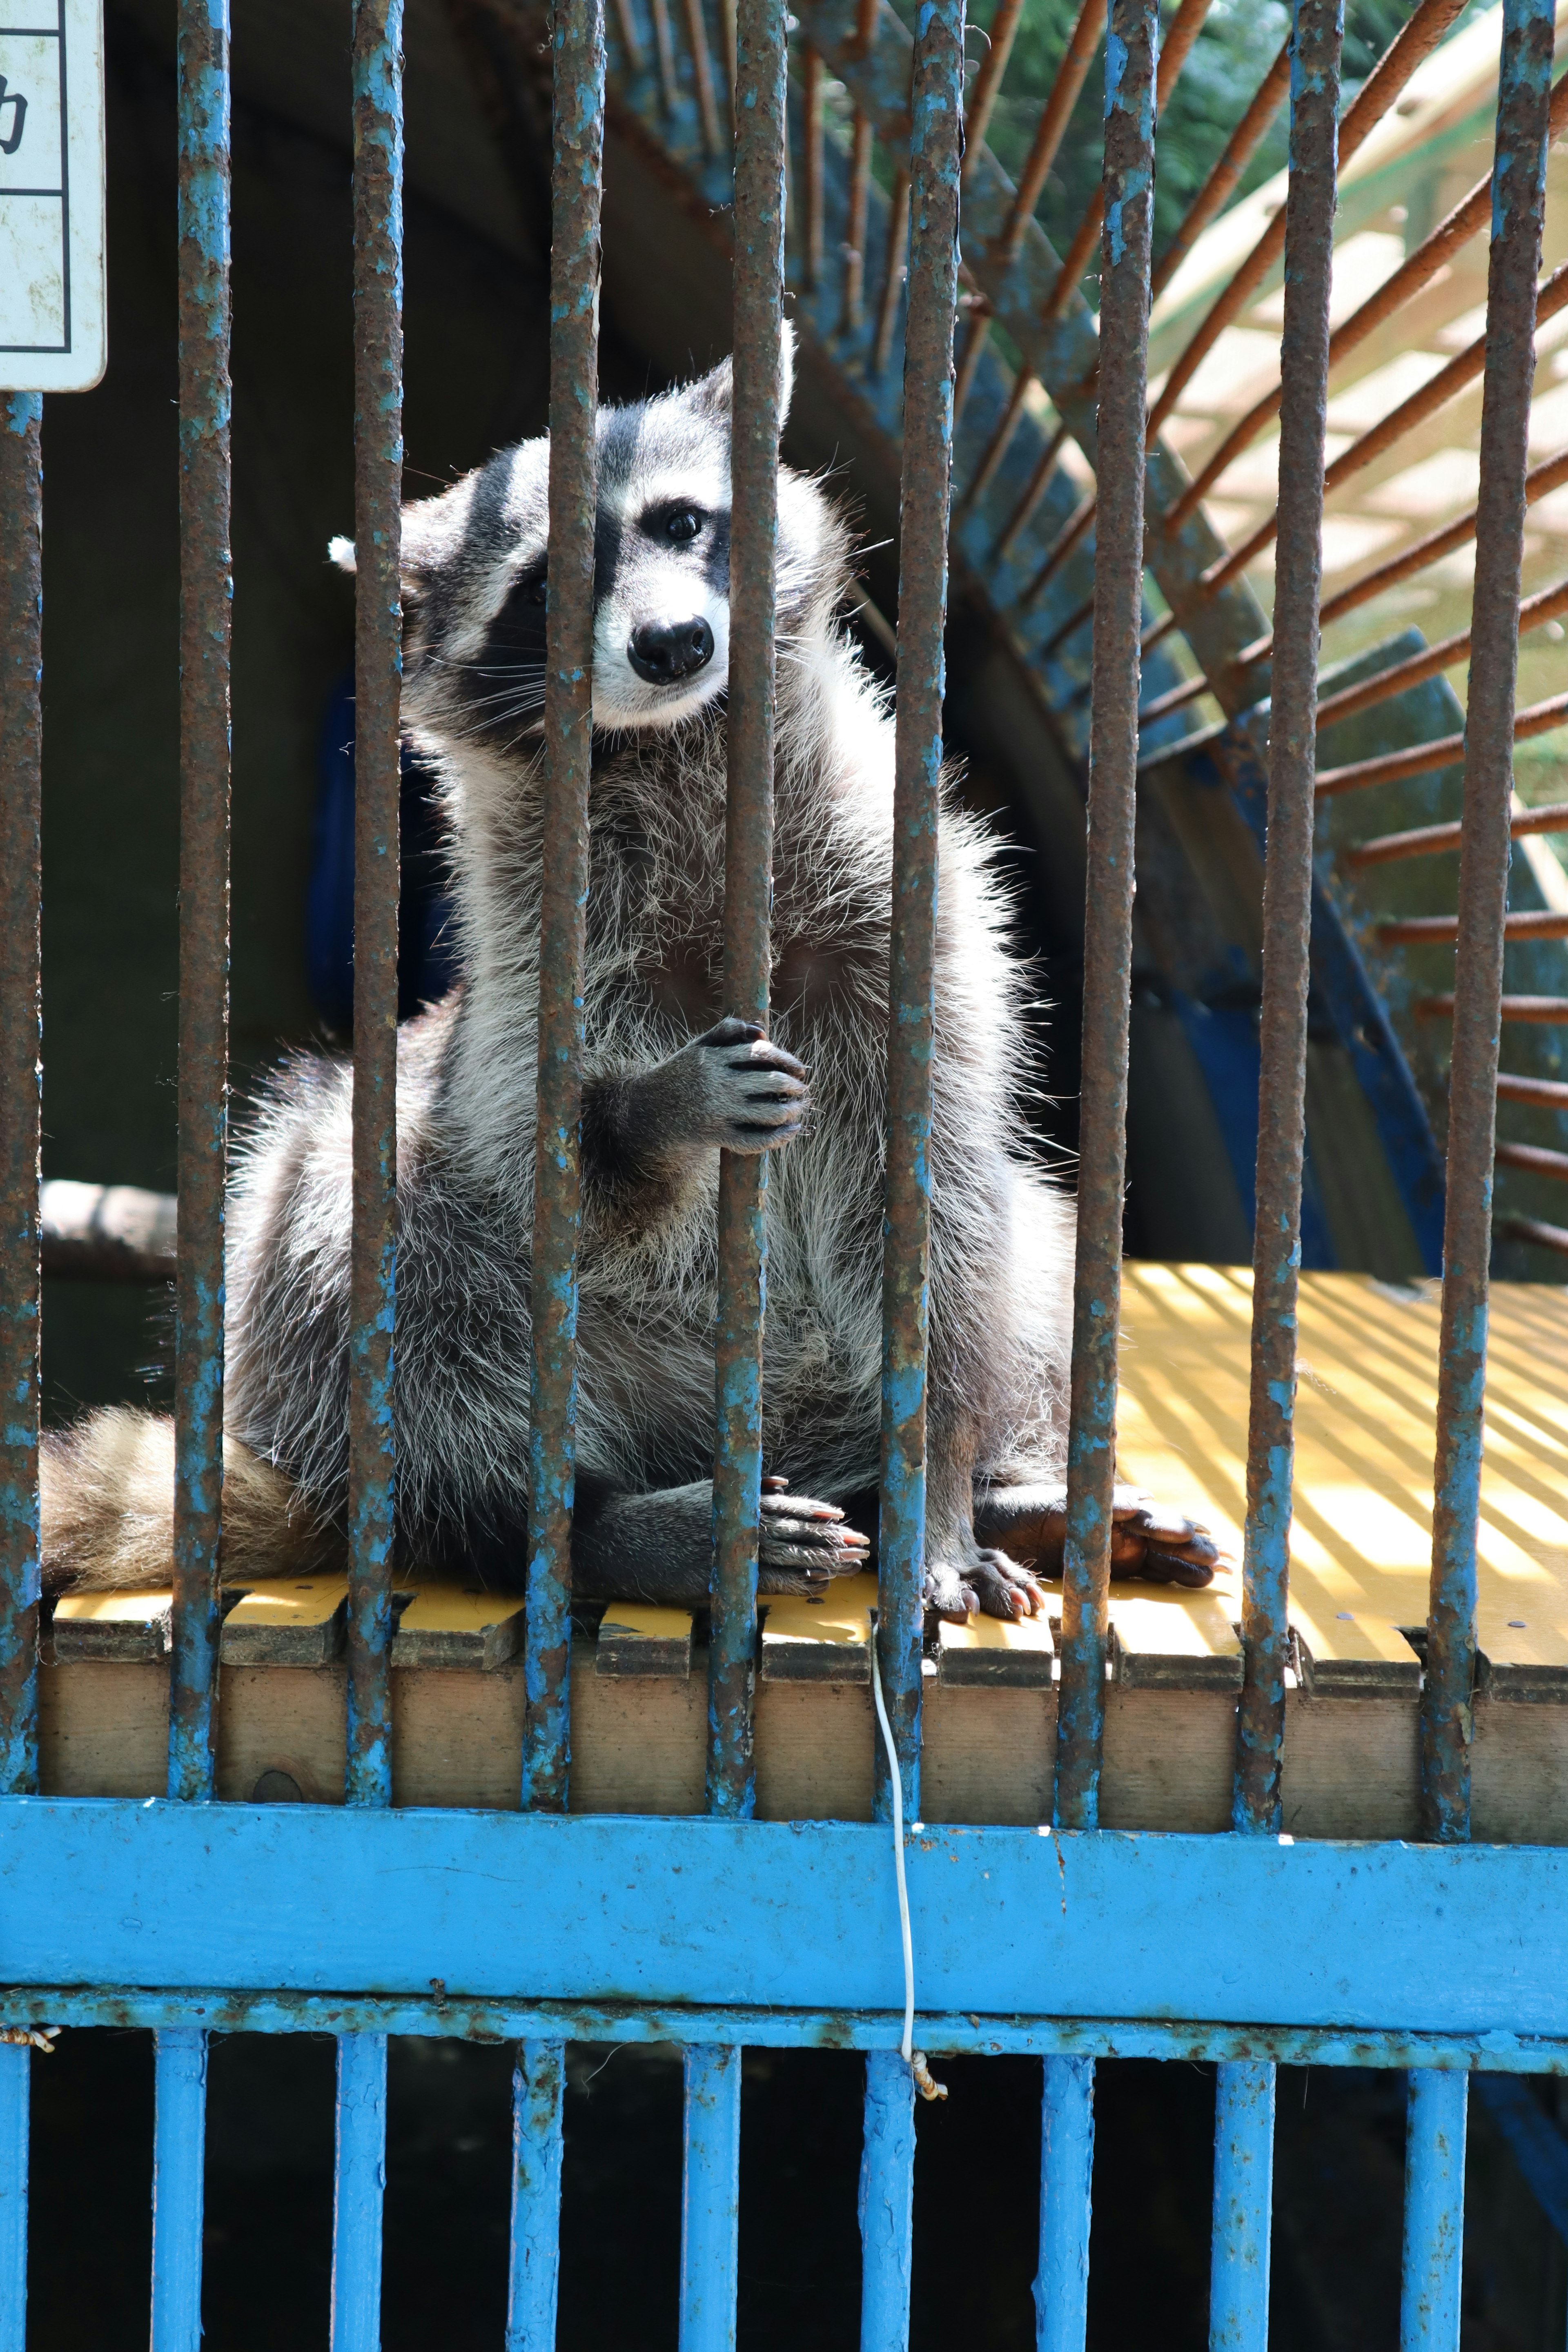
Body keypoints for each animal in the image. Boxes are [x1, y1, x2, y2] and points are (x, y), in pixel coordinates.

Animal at [33, 332, 1213, 1618]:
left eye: (681, 522)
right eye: (542, 587)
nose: (673, 644)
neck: (674, 749)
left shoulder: (909, 924)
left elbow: (938, 1226)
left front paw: (940, 1484)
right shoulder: (534, 962)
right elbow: (547, 1164)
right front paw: (653, 1112)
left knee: (1025, 1245)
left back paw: (984, 1490)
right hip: (386, 1331)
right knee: (377, 1233)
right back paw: (574, 1524)